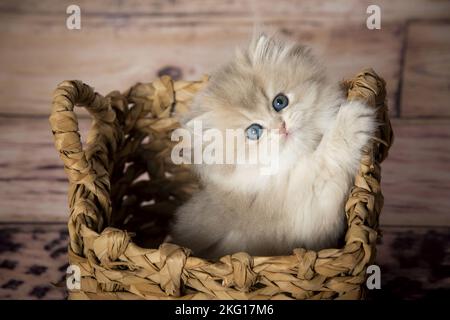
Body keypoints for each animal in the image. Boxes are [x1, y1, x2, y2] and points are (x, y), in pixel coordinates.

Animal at [169, 34, 376, 260]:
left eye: (280, 102)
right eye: (254, 132)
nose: (281, 127)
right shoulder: (308, 209)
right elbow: (323, 160)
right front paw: (352, 120)